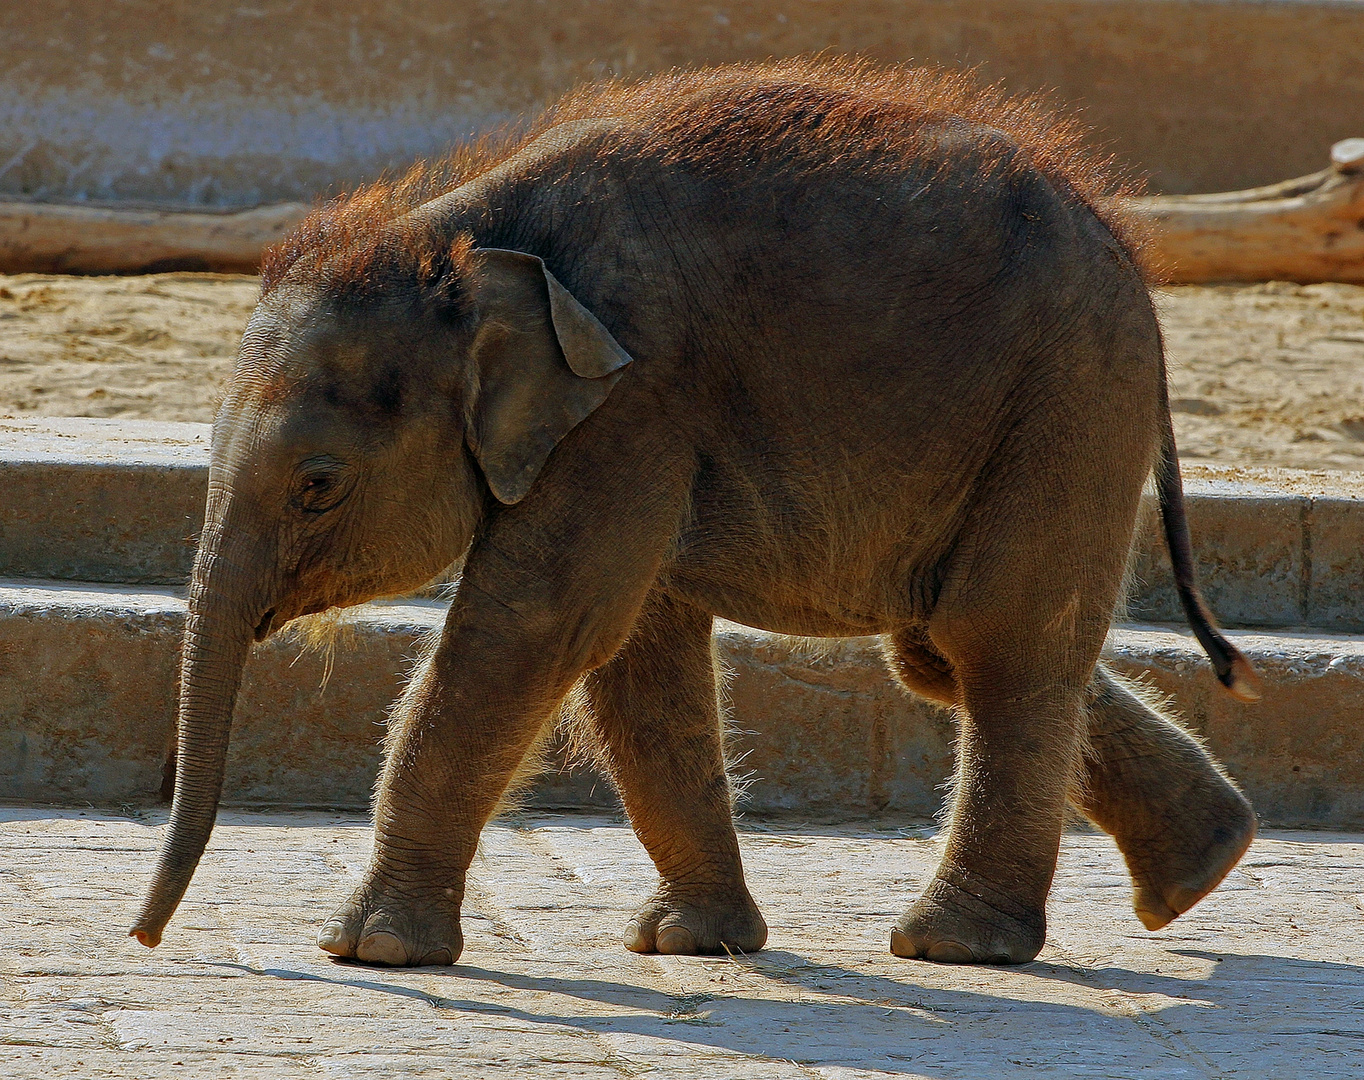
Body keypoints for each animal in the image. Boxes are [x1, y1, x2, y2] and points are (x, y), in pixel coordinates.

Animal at [135, 61, 1254, 970]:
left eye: (318, 483)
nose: (144, 937)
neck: (450, 237)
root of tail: (1124, 243)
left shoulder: (631, 402)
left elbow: (534, 629)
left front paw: (368, 951)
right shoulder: (635, 427)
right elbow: (636, 652)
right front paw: (689, 943)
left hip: (1067, 394)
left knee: (996, 640)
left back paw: (955, 944)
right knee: (942, 647)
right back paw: (1201, 866)